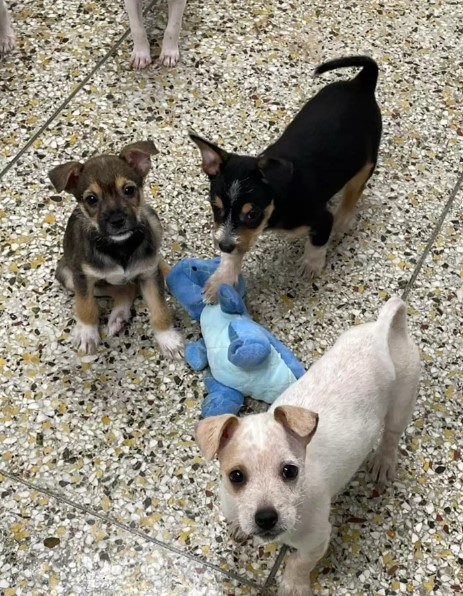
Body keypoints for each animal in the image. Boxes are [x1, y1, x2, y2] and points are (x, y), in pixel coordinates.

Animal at [48, 141, 183, 358]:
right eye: (91, 199)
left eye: (128, 190)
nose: (117, 220)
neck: (120, 246)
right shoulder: (82, 277)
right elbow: (86, 307)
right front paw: (87, 333)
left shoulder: (149, 275)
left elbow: (160, 309)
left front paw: (168, 339)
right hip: (66, 275)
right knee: (125, 288)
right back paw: (118, 315)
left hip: (152, 220)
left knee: (150, 262)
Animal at [190, 56, 382, 300]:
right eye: (215, 206)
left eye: (252, 214)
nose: (222, 246)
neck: (277, 205)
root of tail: (362, 82)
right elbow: (234, 254)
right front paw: (220, 280)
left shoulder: (321, 219)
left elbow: (317, 244)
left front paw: (311, 265)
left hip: (366, 163)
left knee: (354, 191)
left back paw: (343, 219)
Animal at [196, 298, 420, 596]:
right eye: (236, 476)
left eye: (290, 471)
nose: (265, 518)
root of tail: (384, 329)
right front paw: (239, 526)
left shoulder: (316, 539)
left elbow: (298, 562)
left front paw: (293, 585)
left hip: (402, 403)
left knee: (391, 437)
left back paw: (383, 461)